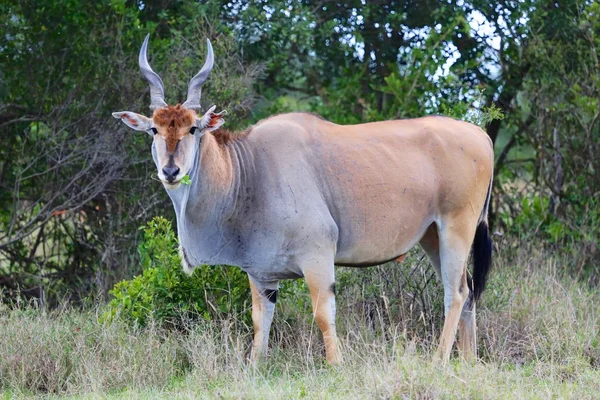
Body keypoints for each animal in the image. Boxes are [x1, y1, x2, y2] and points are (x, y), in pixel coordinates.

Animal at [112, 36, 492, 364]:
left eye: (193, 128)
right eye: (154, 129)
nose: (170, 170)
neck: (249, 172)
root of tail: (480, 134)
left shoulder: (317, 255)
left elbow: (323, 314)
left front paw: (336, 366)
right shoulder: (262, 275)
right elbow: (260, 320)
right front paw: (255, 368)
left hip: (456, 227)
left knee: (456, 293)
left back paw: (439, 360)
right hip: (432, 236)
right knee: (468, 290)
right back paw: (468, 361)